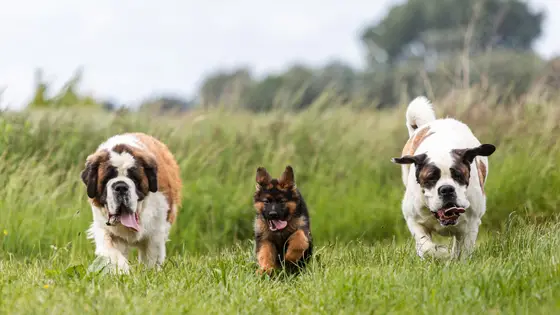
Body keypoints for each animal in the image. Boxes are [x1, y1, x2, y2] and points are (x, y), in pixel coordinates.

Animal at [80, 133, 182, 274]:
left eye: (134, 178)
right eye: (107, 179)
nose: (121, 186)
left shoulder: (156, 231)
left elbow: (151, 257)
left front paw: (149, 273)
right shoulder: (104, 229)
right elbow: (112, 252)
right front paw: (122, 271)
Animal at [392, 97, 496, 260]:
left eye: (458, 175)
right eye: (431, 178)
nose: (447, 189)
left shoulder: (471, 224)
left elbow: (463, 250)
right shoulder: (413, 219)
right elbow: (427, 247)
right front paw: (441, 253)